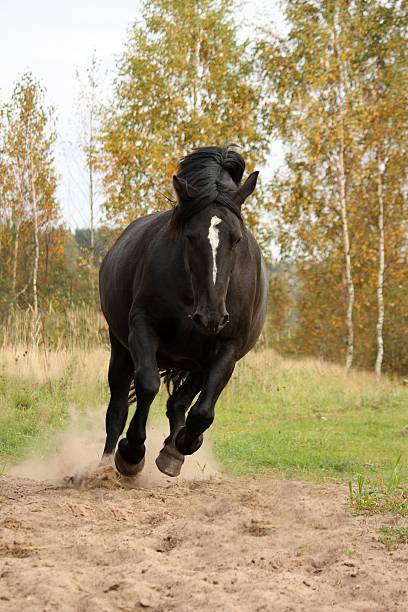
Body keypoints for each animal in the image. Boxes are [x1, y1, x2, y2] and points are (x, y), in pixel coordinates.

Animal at [99, 145, 268, 478]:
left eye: (237, 239)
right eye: (190, 236)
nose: (211, 317)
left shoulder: (227, 347)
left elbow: (202, 413)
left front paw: (179, 448)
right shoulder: (142, 327)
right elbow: (148, 384)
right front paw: (131, 453)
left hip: (198, 362)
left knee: (178, 403)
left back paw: (173, 449)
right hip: (121, 347)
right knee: (117, 409)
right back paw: (104, 466)